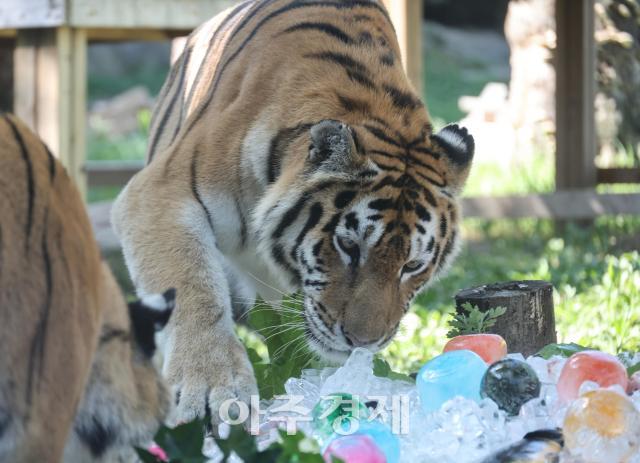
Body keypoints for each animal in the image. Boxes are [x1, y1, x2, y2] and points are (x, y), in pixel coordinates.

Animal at [111, 0, 475, 425]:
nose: (362, 342)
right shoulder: (160, 192)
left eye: (413, 266)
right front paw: (213, 389)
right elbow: (192, 286)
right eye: (349, 247)